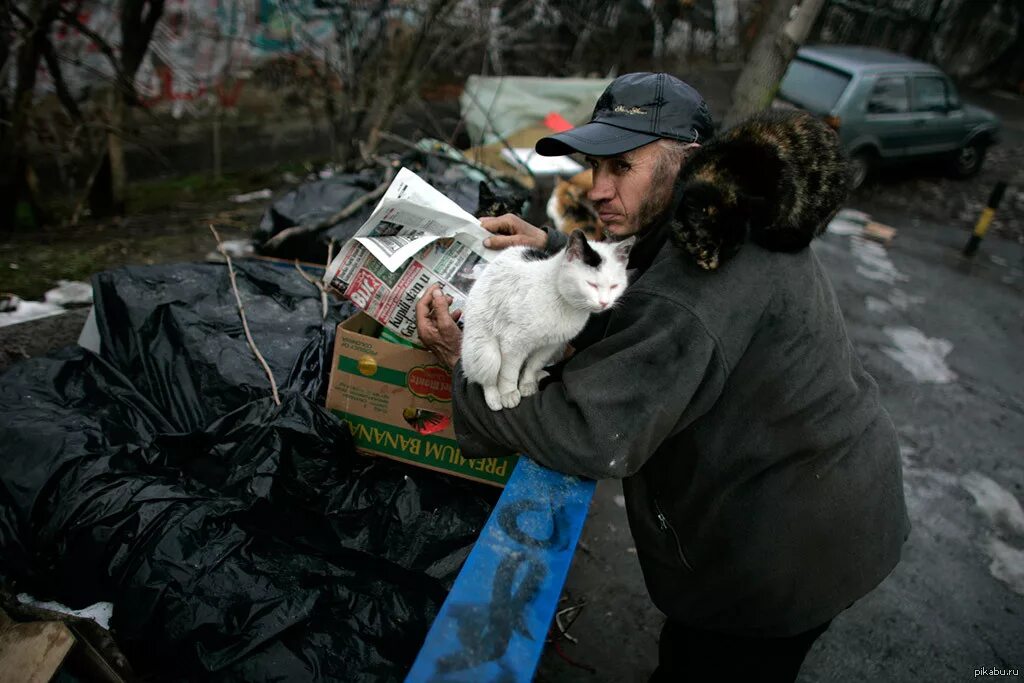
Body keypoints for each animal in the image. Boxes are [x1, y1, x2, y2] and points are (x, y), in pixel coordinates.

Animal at [462, 229, 630, 411]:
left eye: (614, 286)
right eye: (591, 284)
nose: (604, 303)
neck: (564, 304)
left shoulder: (550, 345)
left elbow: (534, 365)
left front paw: (528, 383)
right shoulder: (513, 345)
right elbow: (509, 373)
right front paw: (508, 393)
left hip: (557, 350)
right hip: (487, 353)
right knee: (484, 380)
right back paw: (495, 399)